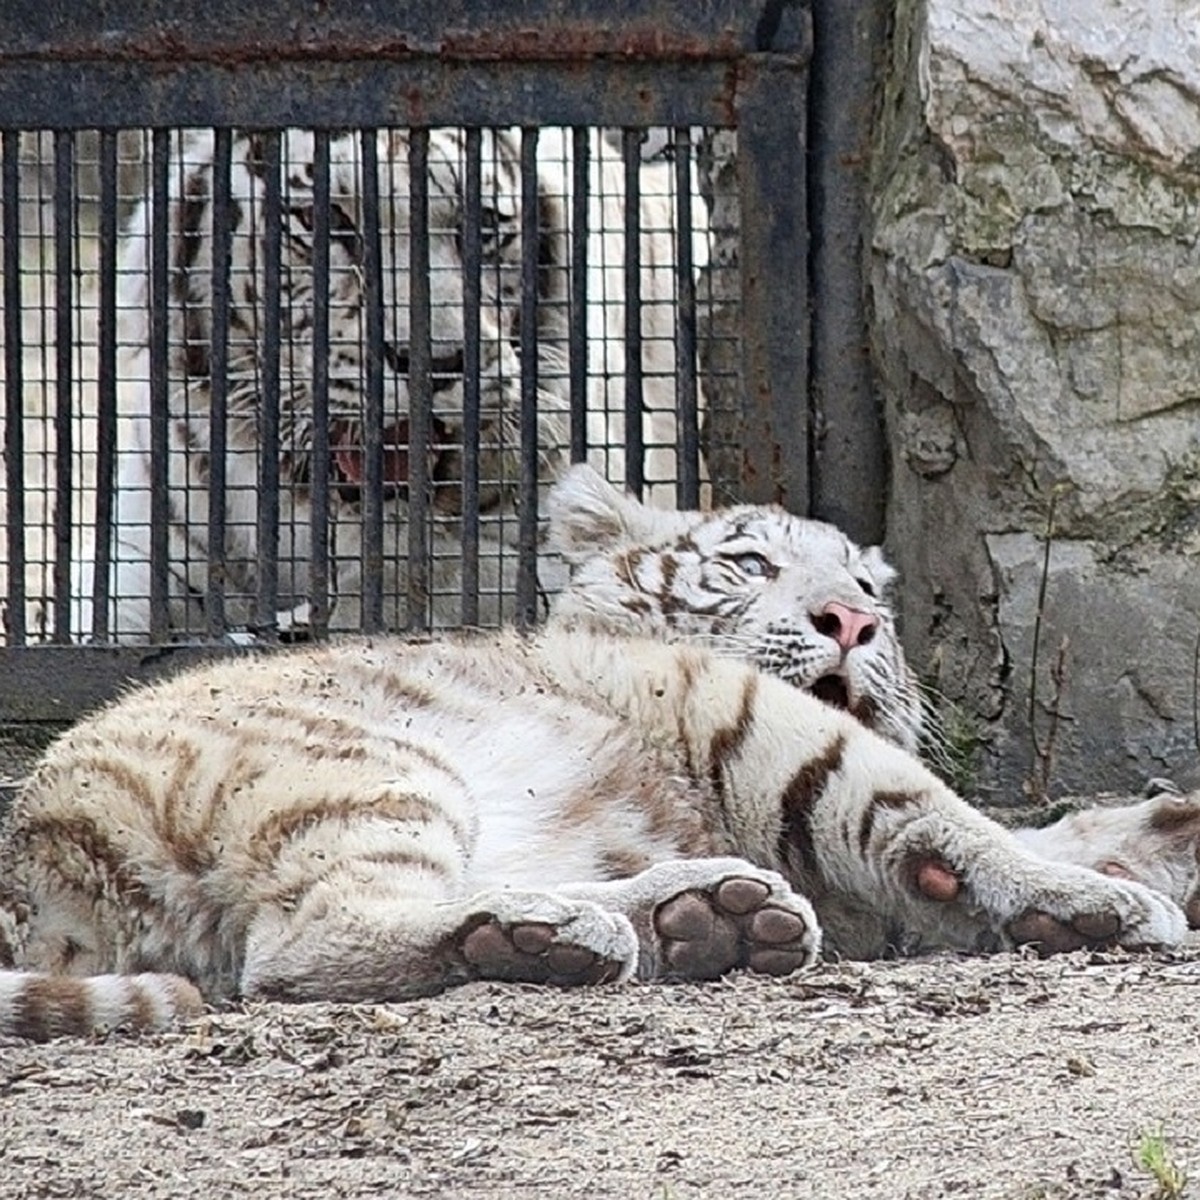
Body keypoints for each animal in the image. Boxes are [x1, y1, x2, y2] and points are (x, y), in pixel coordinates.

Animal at [0, 468, 1195, 1041]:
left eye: (867, 587)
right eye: (748, 561)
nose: (852, 622)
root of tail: (29, 858)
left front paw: (1155, 834)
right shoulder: (748, 711)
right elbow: (928, 805)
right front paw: (1096, 902)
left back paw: (697, 917)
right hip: (366, 770)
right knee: (301, 944)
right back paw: (587, 930)